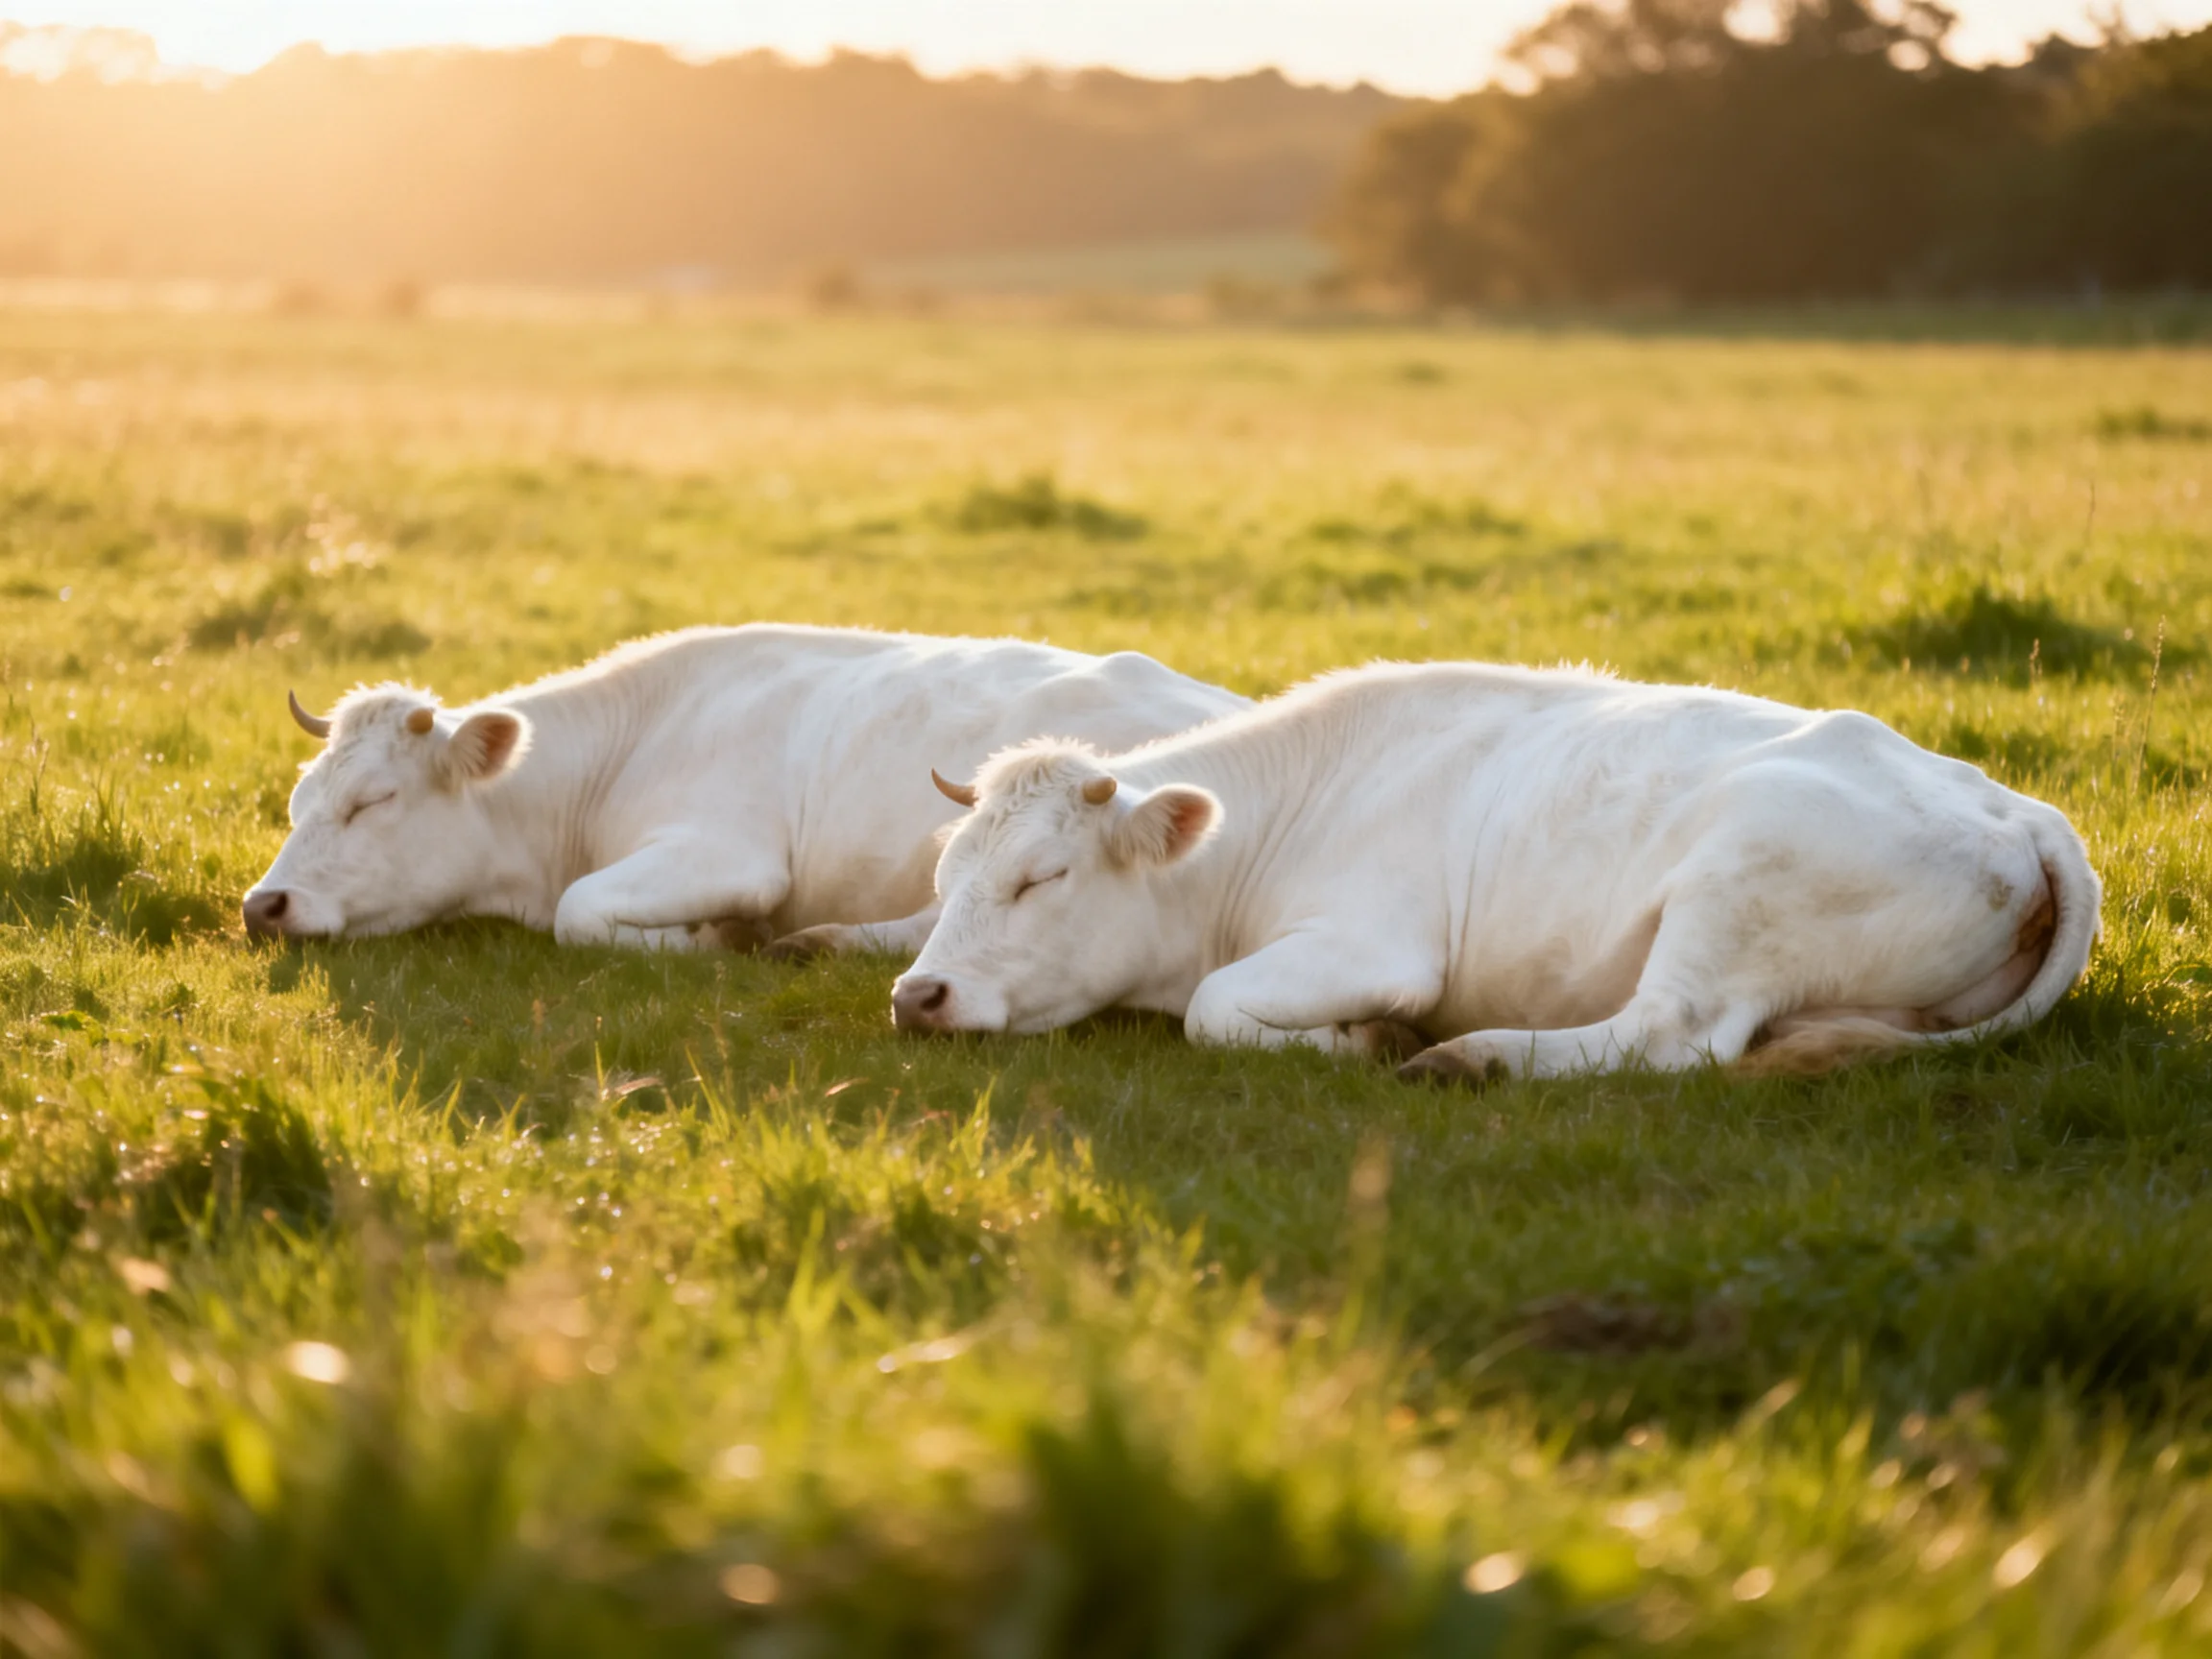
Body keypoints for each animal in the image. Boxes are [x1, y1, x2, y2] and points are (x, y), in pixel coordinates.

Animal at [241, 625, 1246, 954]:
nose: (264, 904)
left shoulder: (729, 852)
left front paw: (706, 938)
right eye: (297, 802)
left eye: (373, 801)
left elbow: (581, 910)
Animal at [891, 662, 2100, 1080]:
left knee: (1667, 1035)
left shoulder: (1377, 945)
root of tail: (2018, 806)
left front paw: (1368, 1039)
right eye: (945, 881)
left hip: (1738, 880)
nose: (918, 994)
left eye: (1040, 878)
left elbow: (1214, 1009)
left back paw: (1468, 1057)